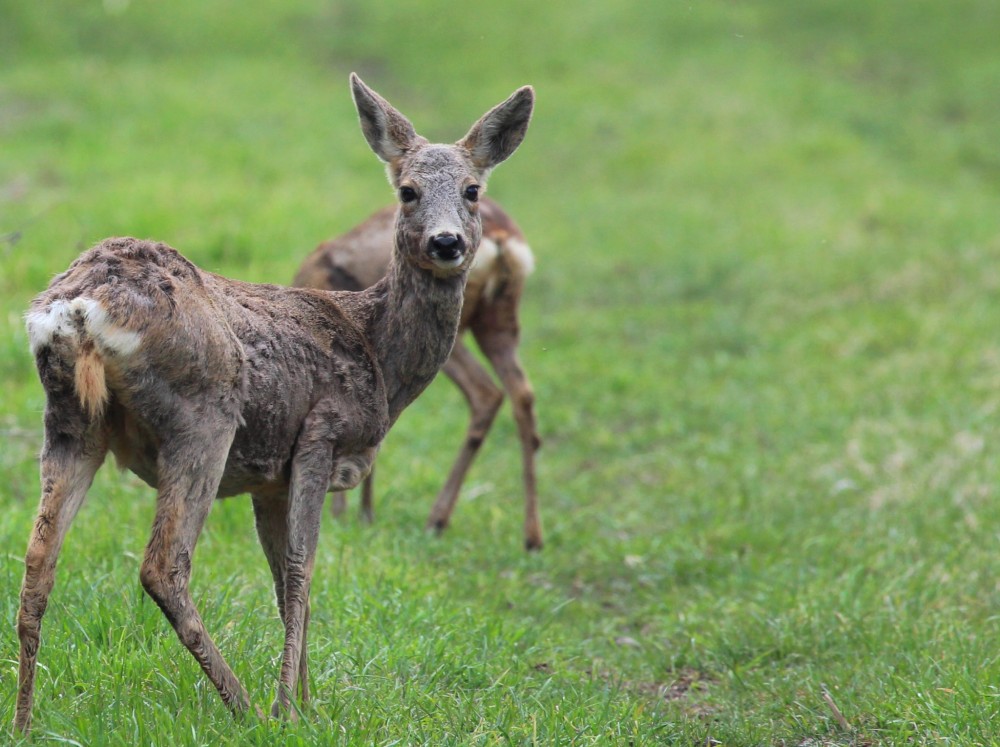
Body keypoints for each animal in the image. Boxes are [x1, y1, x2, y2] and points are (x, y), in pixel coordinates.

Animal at [292, 196, 544, 552]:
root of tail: (502, 239)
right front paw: (364, 513)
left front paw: (344, 513)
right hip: (499, 322)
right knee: (521, 396)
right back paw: (530, 537)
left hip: (451, 327)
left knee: (486, 392)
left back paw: (437, 520)